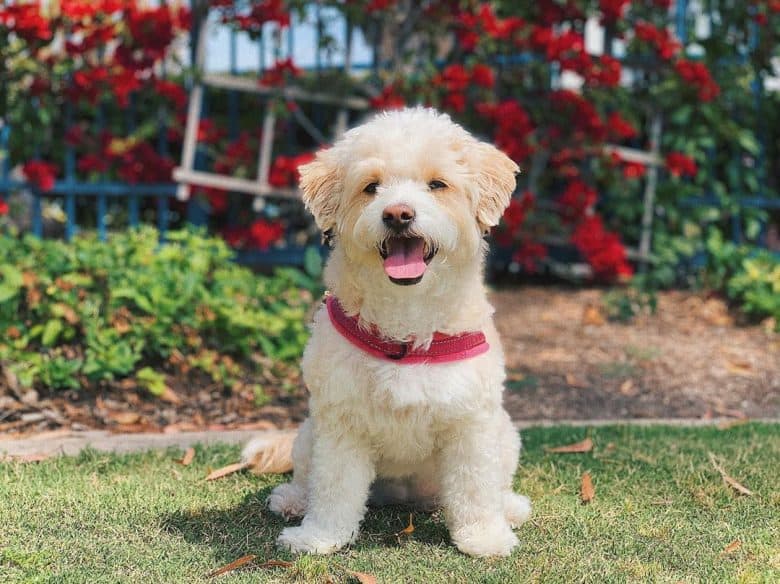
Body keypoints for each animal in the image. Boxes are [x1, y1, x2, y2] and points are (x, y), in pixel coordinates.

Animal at [242, 106, 532, 556]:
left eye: (437, 184)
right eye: (371, 187)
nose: (398, 214)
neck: (406, 325)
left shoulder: (472, 423)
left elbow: (475, 486)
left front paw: (484, 536)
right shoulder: (340, 420)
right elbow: (334, 486)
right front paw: (319, 537)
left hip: (505, 436)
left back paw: (510, 506)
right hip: (308, 433)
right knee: (308, 477)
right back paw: (293, 499)